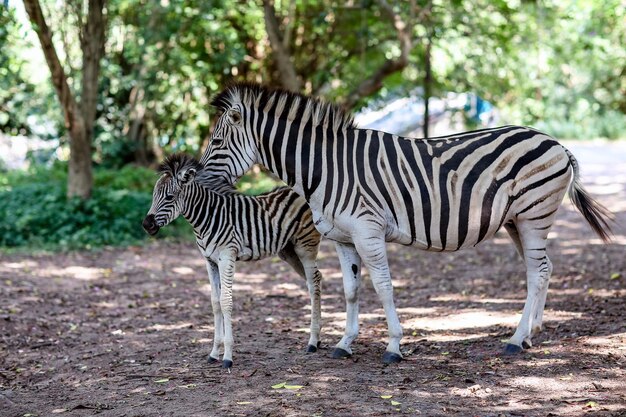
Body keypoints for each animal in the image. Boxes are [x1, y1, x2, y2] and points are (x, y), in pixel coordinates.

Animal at [142, 153, 322, 368]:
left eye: (169, 197)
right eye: (154, 196)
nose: (146, 225)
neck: (207, 218)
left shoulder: (227, 256)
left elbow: (226, 301)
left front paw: (227, 356)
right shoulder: (209, 261)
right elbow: (215, 302)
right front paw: (214, 353)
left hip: (306, 246)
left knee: (314, 283)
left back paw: (313, 342)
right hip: (289, 252)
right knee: (315, 279)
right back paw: (319, 338)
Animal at [202, 83, 612, 362]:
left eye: (217, 142)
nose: (197, 179)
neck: (326, 168)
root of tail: (555, 142)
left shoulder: (368, 231)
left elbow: (383, 287)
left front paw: (394, 345)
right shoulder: (343, 238)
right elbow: (351, 290)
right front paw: (344, 343)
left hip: (533, 215)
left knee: (538, 272)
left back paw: (516, 339)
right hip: (517, 221)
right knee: (541, 268)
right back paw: (530, 334)